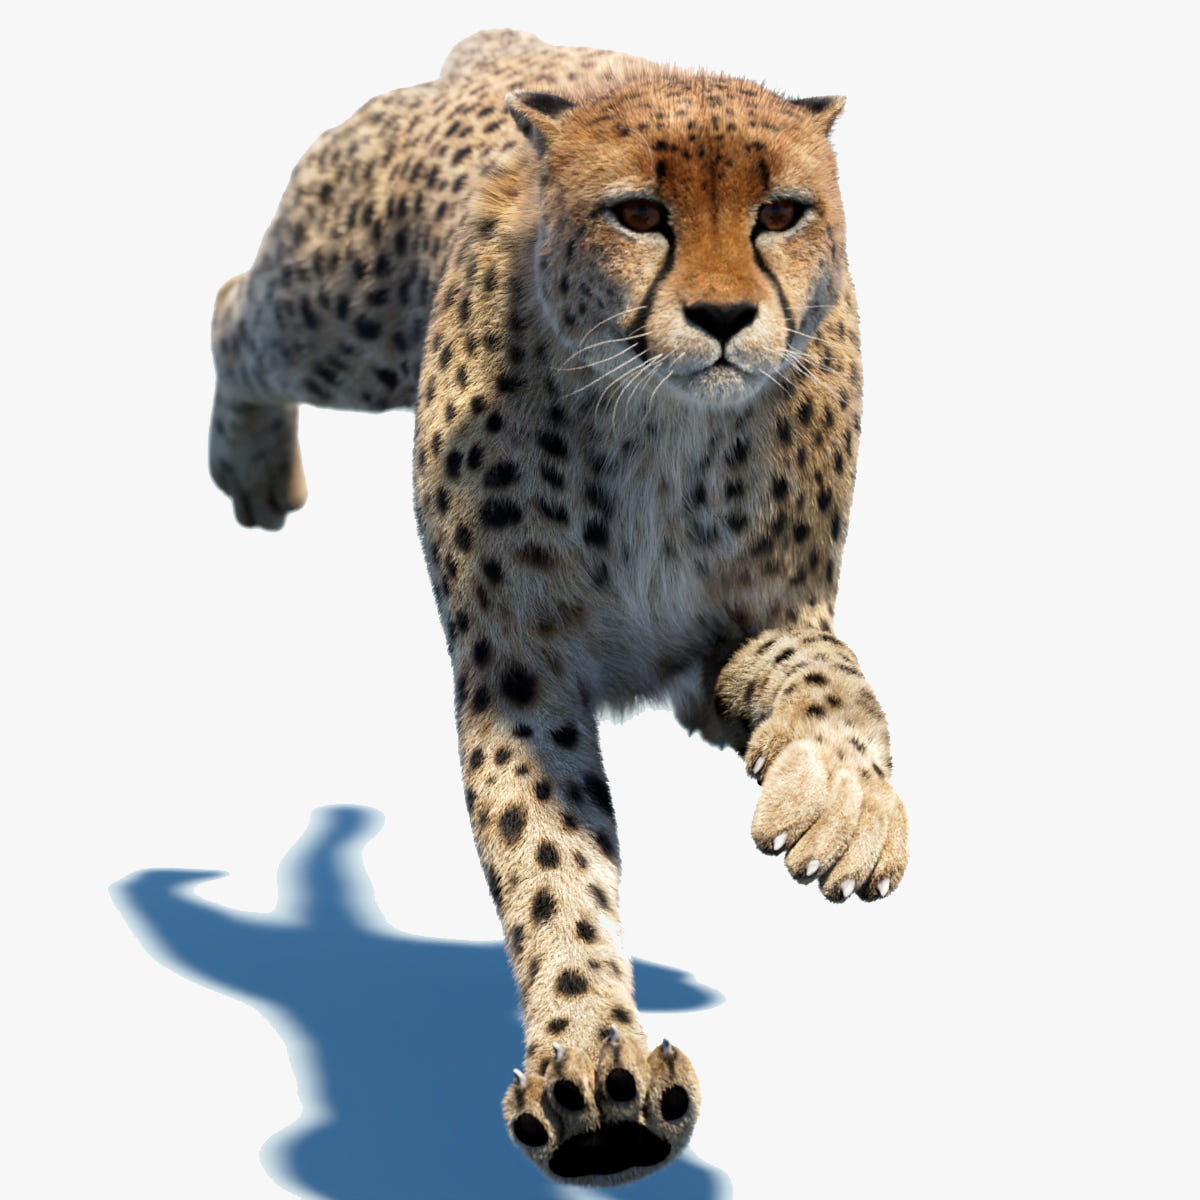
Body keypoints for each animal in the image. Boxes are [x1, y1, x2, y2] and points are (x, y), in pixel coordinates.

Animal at [208, 28, 909, 1188]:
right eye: (637, 213)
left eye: (780, 211)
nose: (725, 318)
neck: (660, 422)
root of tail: (516, 43)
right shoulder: (519, 677)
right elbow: (550, 868)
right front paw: (594, 1072)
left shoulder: (748, 638)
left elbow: (828, 676)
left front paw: (843, 800)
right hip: (340, 315)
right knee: (232, 307)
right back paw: (252, 469)